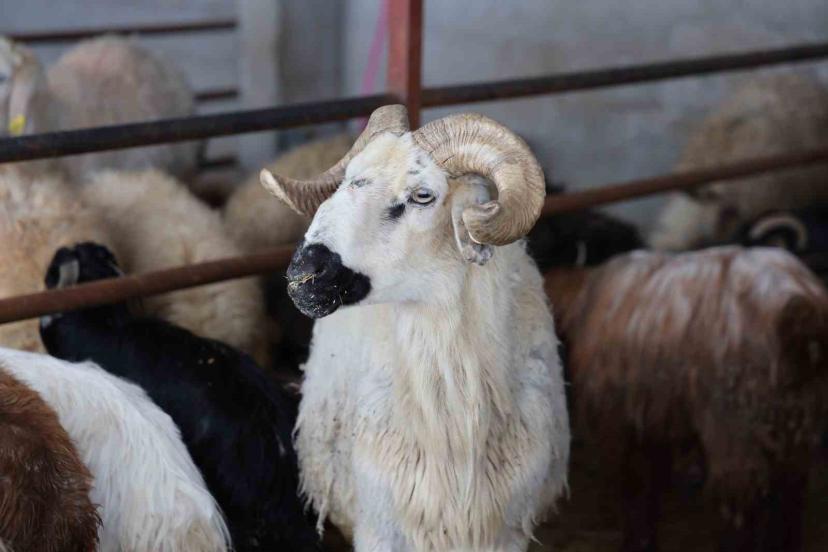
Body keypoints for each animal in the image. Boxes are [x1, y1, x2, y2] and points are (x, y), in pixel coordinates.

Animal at [544, 246, 828, 552]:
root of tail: (798, 308)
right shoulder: (653, 421)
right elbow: (650, 490)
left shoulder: (623, 425)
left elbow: (634, 490)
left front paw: (636, 542)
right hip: (796, 422)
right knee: (789, 499)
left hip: (736, 430)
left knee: (742, 506)